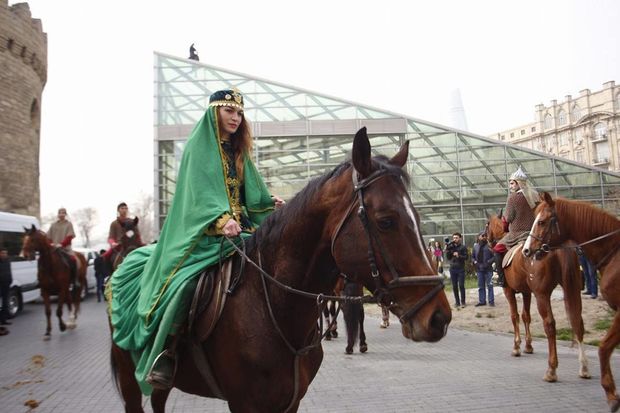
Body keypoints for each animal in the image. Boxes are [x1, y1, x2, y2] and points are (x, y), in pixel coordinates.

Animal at [110, 127, 450, 410]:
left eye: (419, 219)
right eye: (386, 221)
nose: (439, 317)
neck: (270, 303)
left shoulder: (290, 401)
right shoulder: (246, 405)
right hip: (130, 376)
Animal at [486, 214, 588, 382]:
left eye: (487, 225)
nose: (483, 237)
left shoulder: (509, 291)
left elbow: (514, 316)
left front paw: (517, 347)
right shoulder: (526, 292)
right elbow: (526, 316)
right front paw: (528, 346)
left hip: (542, 295)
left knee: (550, 325)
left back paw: (551, 370)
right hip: (572, 289)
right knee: (577, 321)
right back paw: (584, 368)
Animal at [524, 193, 620, 412]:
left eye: (541, 222)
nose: (527, 250)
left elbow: (603, 347)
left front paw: (611, 394)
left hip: (542, 295)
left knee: (551, 325)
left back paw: (553, 370)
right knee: (577, 323)